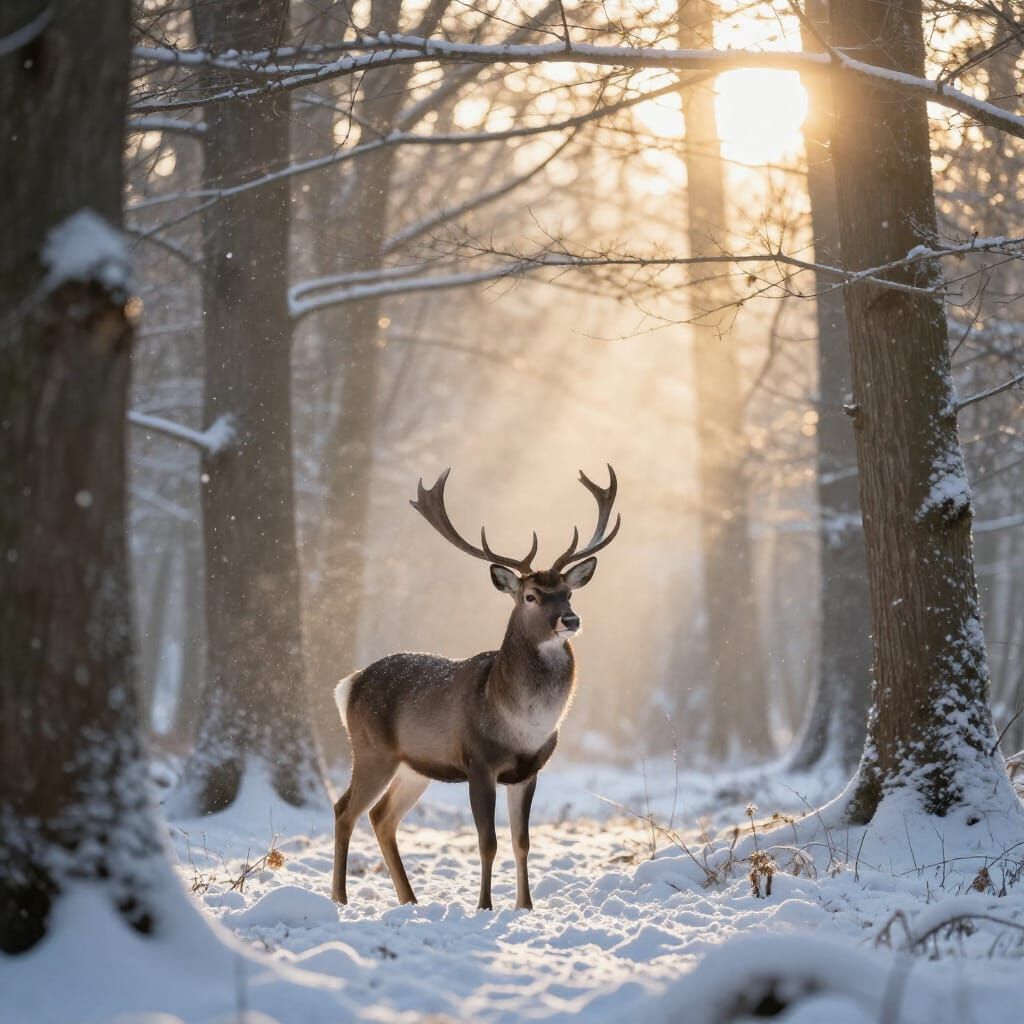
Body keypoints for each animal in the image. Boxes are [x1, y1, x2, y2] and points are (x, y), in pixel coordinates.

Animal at [330, 466, 620, 911]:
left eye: (568, 592)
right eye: (531, 595)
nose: (570, 620)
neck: (523, 721)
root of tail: (350, 684)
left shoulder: (528, 771)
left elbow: (522, 842)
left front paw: (525, 906)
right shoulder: (479, 762)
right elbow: (488, 842)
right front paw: (484, 906)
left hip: (413, 767)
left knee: (382, 817)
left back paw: (410, 900)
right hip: (371, 750)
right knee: (345, 810)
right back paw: (341, 899)